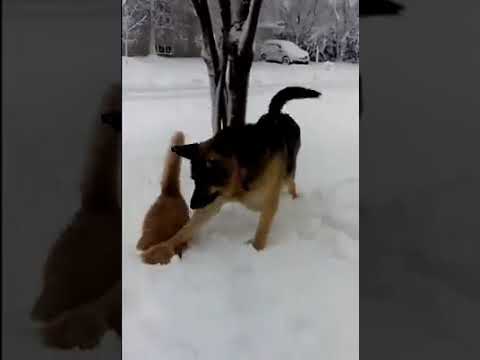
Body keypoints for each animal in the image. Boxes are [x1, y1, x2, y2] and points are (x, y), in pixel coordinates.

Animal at [144, 87, 320, 264]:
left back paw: (295, 199)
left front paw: (256, 251)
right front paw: (161, 248)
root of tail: (276, 113)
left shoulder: (267, 202)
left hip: (288, 171)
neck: (241, 171)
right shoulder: (213, 201)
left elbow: (261, 232)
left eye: (205, 180)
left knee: (291, 184)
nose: (192, 205)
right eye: (194, 180)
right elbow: (185, 230)